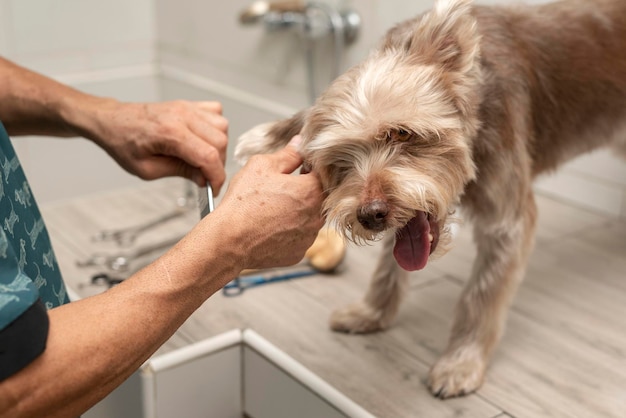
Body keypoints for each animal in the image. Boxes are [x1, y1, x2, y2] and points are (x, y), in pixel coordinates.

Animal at [235, 0, 624, 398]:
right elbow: (389, 267)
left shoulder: (507, 221)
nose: (371, 214)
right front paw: (371, 313)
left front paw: (461, 363)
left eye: (402, 134)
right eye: (338, 163)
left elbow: (481, 296)